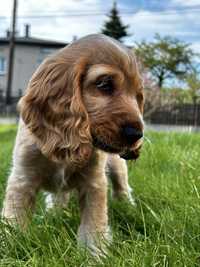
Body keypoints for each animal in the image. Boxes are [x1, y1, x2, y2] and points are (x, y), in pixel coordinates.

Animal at [2, 34, 145, 256]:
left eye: (137, 95)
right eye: (104, 84)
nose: (137, 134)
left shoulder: (94, 183)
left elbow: (93, 226)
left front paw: (95, 256)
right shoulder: (22, 179)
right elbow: (14, 220)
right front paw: (12, 250)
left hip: (117, 166)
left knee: (122, 188)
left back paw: (129, 208)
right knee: (58, 198)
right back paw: (53, 214)